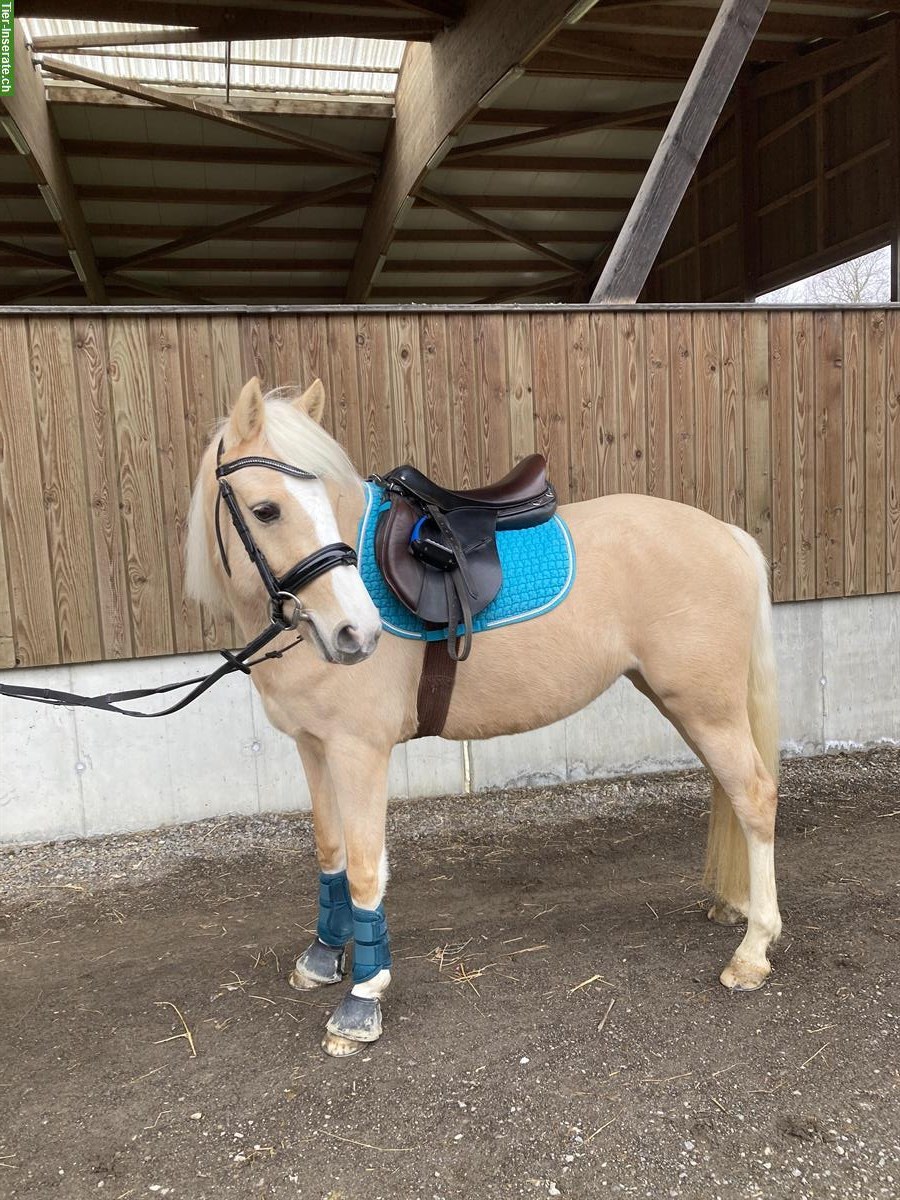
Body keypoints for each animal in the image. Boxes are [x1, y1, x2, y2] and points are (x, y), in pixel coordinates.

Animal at [188, 379, 782, 1056]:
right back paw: (733, 906)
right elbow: (330, 850)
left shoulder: (358, 751)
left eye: (320, 503)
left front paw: (362, 999)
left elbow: (365, 868)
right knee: (731, 791)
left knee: (754, 796)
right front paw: (321, 958)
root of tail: (726, 534)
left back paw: (753, 951)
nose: (355, 634)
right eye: (266, 510)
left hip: (705, 707)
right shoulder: (313, 747)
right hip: (689, 704)